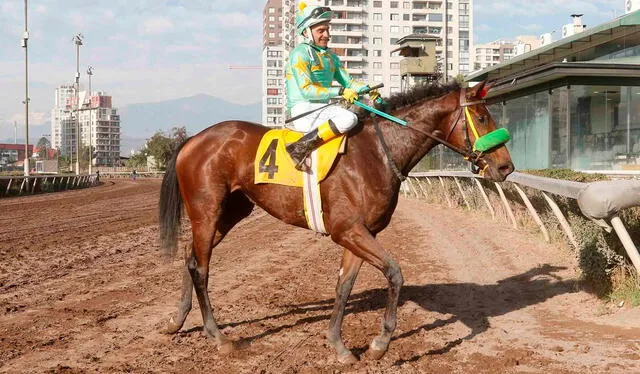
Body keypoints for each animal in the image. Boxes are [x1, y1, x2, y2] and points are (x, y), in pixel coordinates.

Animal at [159, 80, 516, 364]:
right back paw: (218, 337)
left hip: (231, 212)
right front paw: (380, 344)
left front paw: (339, 345)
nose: (506, 167)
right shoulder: (348, 230)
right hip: (207, 212)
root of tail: (193, 139)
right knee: (201, 268)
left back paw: (177, 321)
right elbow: (395, 273)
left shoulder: (360, 233)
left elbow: (344, 285)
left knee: (191, 257)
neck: (376, 153)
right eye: (482, 117)